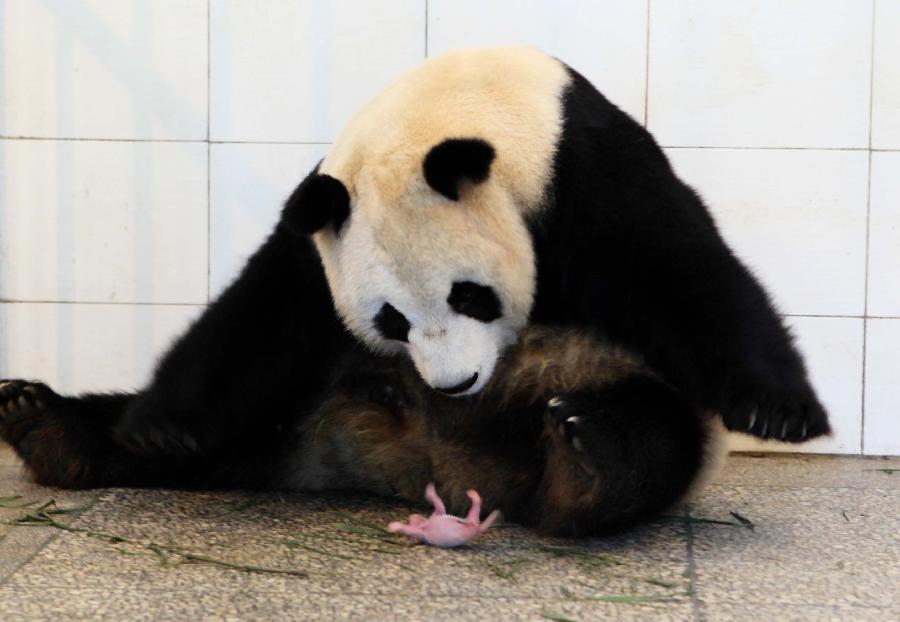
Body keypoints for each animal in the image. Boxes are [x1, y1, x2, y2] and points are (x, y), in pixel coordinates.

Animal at [0, 47, 828, 536]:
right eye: (391, 320)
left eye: (471, 297)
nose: (452, 383)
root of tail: (431, 467)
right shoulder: (323, 221)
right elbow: (264, 315)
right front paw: (163, 423)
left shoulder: (585, 167)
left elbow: (684, 274)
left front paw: (780, 410)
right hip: (297, 399)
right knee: (231, 426)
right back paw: (45, 424)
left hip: (615, 384)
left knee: (652, 441)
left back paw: (584, 462)